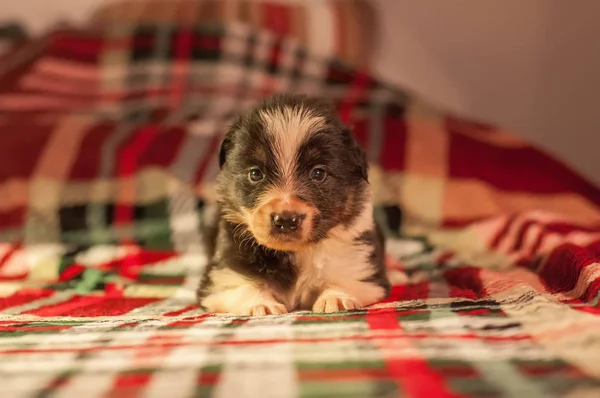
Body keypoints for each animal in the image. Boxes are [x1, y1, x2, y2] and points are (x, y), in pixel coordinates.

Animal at [199, 95, 392, 316]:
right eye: (255, 173)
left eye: (318, 173)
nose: (285, 220)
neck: (295, 251)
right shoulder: (222, 273)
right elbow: (242, 285)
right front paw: (261, 304)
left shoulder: (359, 265)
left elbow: (344, 278)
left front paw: (335, 298)